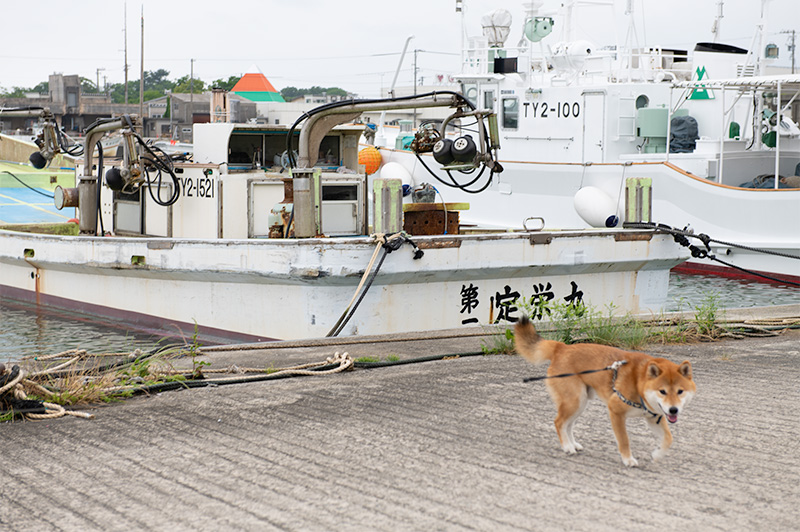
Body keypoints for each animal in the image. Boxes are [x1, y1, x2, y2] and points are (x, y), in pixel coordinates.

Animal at [516, 316, 696, 466]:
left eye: (680, 391)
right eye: (662, 391)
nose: (673, 410)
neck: (638, 383)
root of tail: (561, 347)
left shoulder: (654, 417)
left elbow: (668, 439)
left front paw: (657, 454)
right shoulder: (615, 411)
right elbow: (624, 440)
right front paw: (628, 459)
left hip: (580, 403)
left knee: (568, 424)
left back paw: (573, 444)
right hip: (575, 401)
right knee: (559, 422)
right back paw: (567, 447)